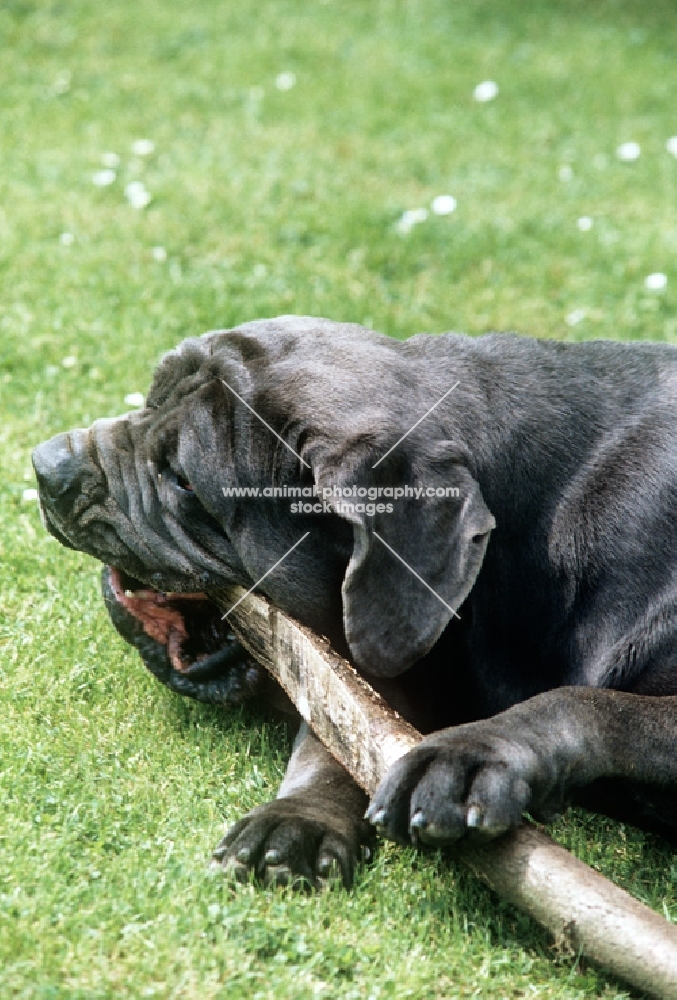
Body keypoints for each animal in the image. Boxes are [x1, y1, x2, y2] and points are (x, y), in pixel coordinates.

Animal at [31, 316, 676, 888]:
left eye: (183, 480)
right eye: (149, 398)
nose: (45, 464)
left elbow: (589, 704)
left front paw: (471, 755)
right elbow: (339, 732)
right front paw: (298, 817)